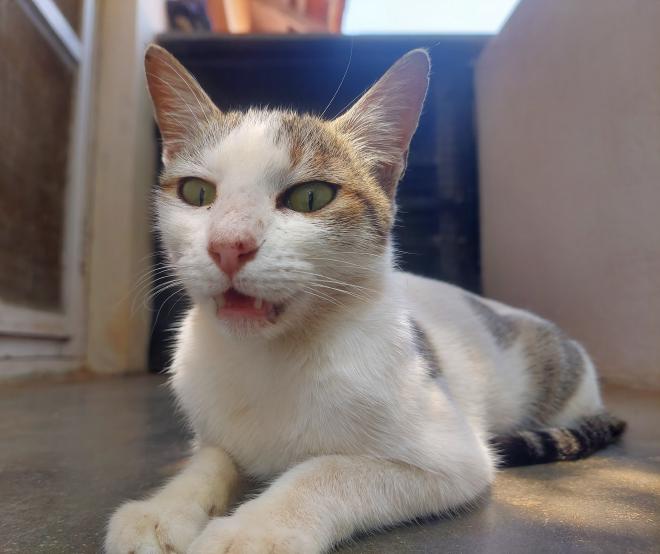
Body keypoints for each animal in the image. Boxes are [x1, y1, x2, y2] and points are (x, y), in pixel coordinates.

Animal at [105, 46, 628, 552]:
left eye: (311, 198)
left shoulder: (454, 455)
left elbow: (327, 470)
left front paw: (254, 530)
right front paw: (164, 508)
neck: (268, 360)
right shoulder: (214, 432)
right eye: (197, 192)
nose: (228, 245)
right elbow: (210, 460)